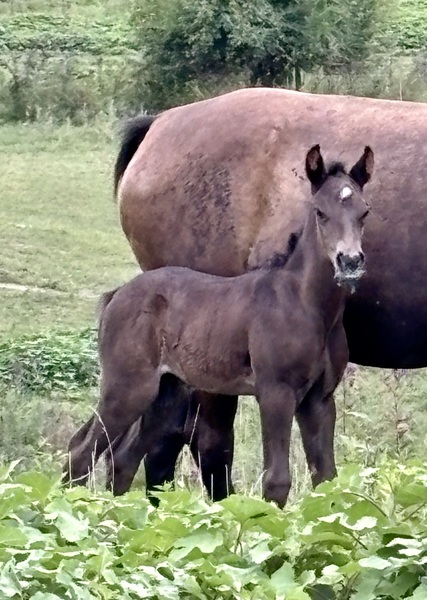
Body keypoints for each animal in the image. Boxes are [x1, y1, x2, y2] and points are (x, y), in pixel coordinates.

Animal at [64, 145, 374, 506]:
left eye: (364, 212)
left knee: (121, 458)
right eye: (320, 212)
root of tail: (116, 296)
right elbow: (277, 481)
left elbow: (327, 479)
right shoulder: (276, 392)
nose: (349, 262)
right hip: (127, 386)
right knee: (82, 452)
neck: (305, 302)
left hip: (164, 392)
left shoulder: (319, 400)